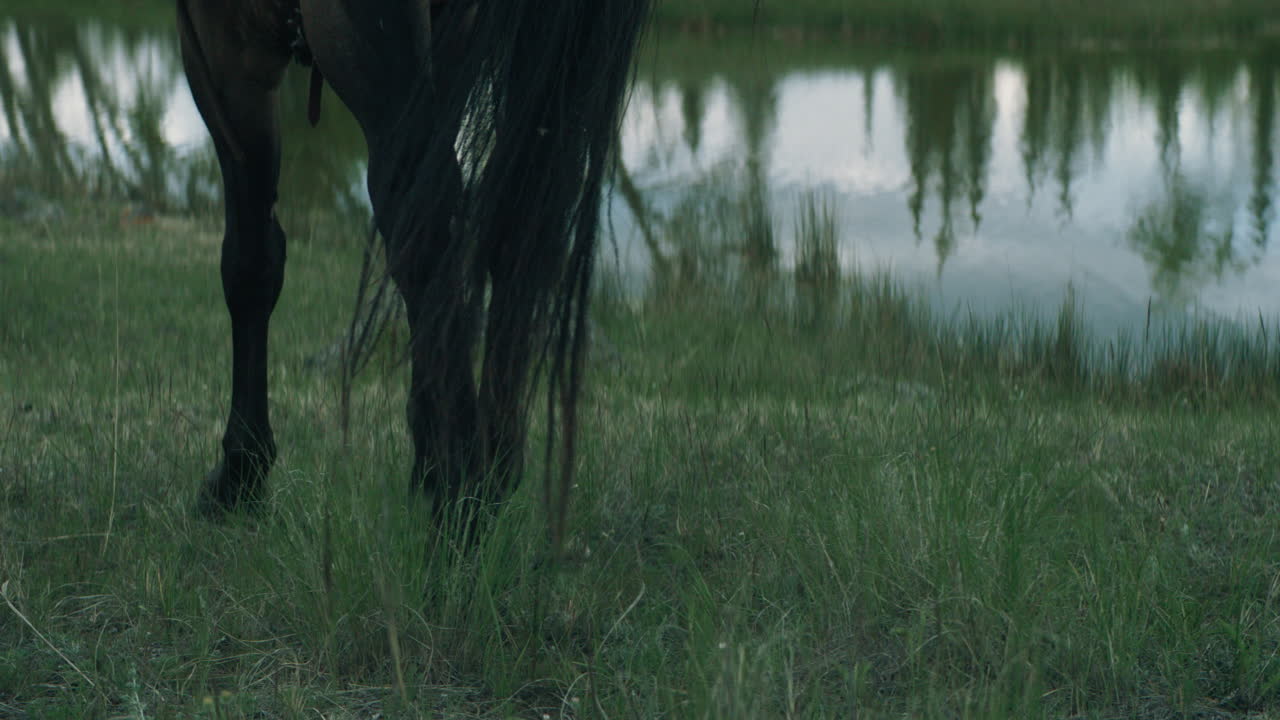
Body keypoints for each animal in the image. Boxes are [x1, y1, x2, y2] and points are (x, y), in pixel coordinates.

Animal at [176, 0, 650, 544]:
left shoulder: (226, 49)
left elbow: (251, 262)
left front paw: (240, 473)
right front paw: (425, 457)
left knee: (427, 219)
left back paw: (459, 509)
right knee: (521, 215)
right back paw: (487, 475)